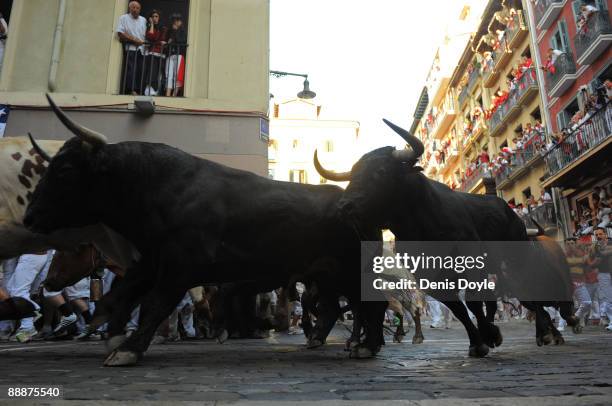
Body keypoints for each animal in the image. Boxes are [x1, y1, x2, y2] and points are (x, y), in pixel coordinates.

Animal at [25, 94, 388, 364]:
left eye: (66, 170)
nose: (29, 217)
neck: (157, 187)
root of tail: (352, 202)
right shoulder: (151, 260)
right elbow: (121, 294)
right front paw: (110, 330)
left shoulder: (179, 267)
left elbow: (154, 305)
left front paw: (128, 349)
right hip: (327, 277)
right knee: (341, 308)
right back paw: (340, 342)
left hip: (350, 271)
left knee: (372, 304)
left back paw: (365, 346)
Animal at [316, 117, 580, 356]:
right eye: (352, 174)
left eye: (380, 172)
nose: (344, 206)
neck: (422, 225)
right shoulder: (431, 278)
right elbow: (459, 309)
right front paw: (479, 341)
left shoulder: (471, 262)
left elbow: (473, 302)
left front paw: (488, 336)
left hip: (517, 263)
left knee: (530, 295)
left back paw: (546, 332)